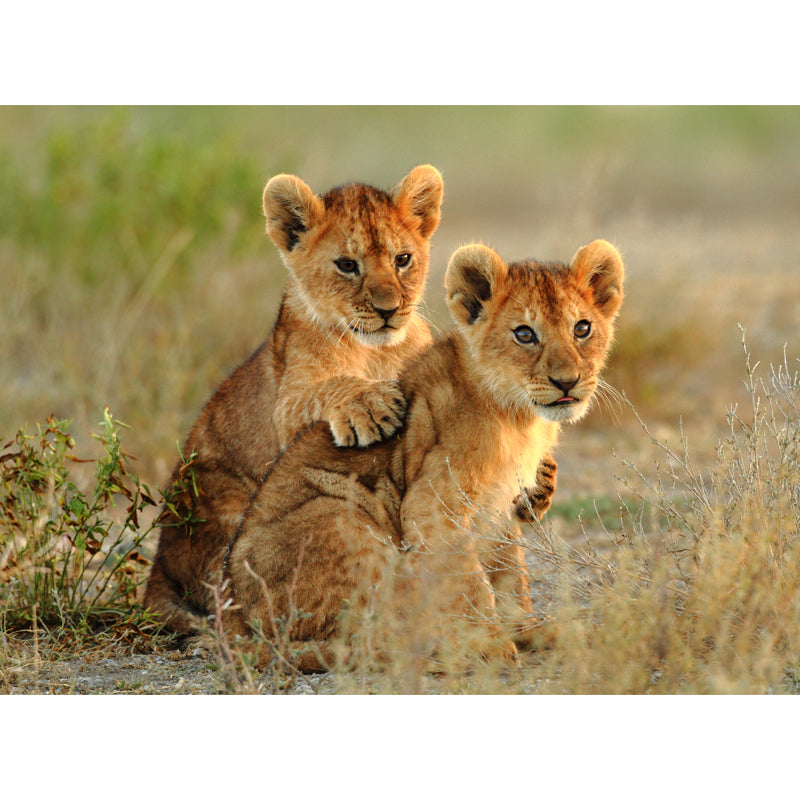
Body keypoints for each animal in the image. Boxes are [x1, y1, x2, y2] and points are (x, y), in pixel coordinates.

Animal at [144, 165, 445, 634]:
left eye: (403, 260)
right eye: (347, 265)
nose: (389, 310)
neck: (377, 352)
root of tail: (158, 564)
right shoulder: (287, 403)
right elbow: (325, 390)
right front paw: (370, 405)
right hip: (221, 499)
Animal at [223, 238, 625, 670]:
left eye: (582, 328)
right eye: (524, 334)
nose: (567, 382)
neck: (519, 418)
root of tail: (232, 617)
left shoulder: (498, 505)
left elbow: (509, 572)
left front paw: (527, 628)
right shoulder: (433, 504)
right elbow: (468, 581)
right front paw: (489, 642)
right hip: (340, 515)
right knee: (347, 636)